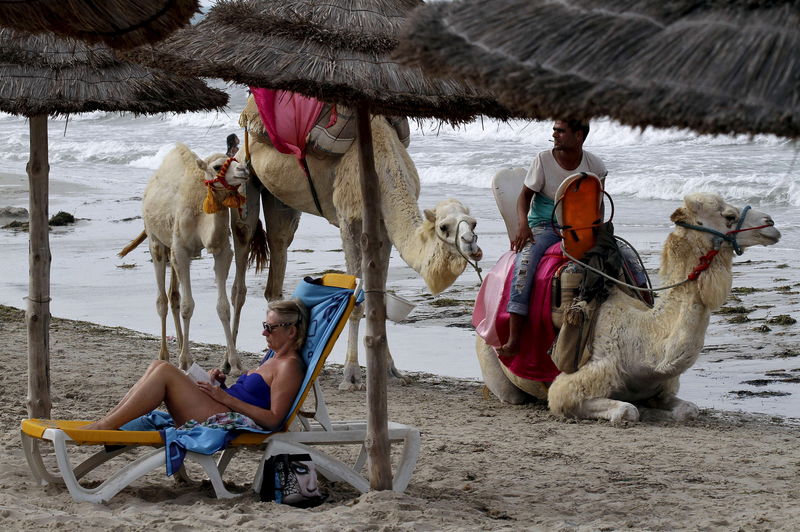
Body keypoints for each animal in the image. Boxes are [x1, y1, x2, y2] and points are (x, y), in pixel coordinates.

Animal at [119, 143, 248, 372]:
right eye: (217, 167)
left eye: (235, 160)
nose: (244, 170)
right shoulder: (181, 250)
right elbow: (188, 306)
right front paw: (185, 360)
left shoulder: (222, 251)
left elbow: (222, 307)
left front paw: (234, 362)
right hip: (156, 241)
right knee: (162, 299)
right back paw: (165, 355)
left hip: (171, 249)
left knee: (174, 296)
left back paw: (179, 345)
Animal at [231, 100, 482, 390]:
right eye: (444, 227)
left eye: (473, 224)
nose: (470, 243)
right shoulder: (349, 218)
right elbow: (356, 301)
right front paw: (351, 375)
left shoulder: (384, 229)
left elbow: (379, 301)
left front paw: (391, 371)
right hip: (243, 175)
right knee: (242, 252)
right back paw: (232, 363)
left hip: (280, 198)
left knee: (279, 247)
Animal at [478, 193, 780, 422]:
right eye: (729, 216)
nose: (771, 223)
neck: (644, 344)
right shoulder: (571, 384)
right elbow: (626, 410)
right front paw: (637, 410)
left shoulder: (661, 387)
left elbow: (688, 410)